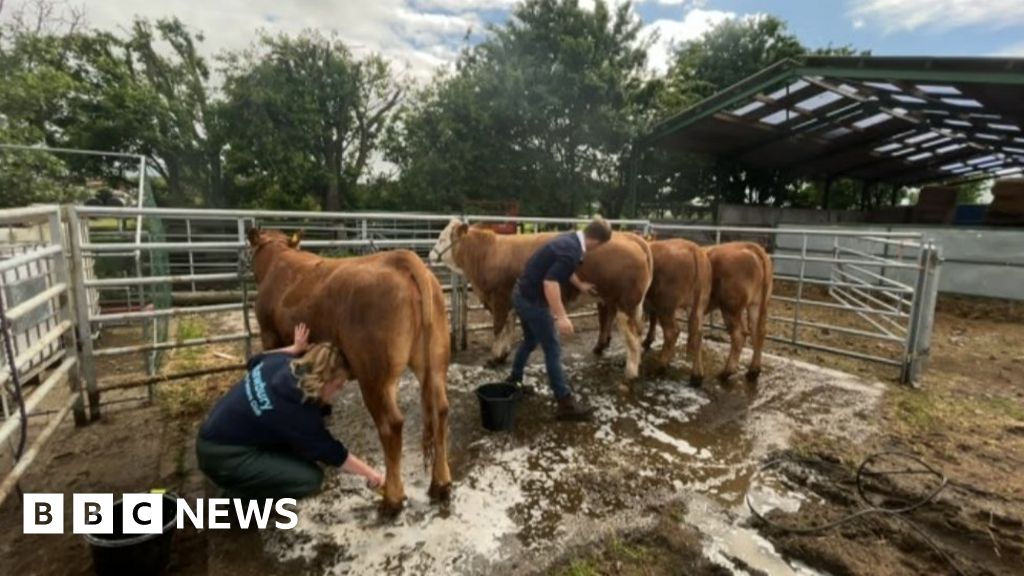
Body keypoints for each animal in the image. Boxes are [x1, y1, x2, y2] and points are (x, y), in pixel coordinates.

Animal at [245, 226, 450, 508]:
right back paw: (441, 485)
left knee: (391, 425)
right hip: (434, 361)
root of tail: (402, 258)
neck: (278, 259)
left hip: (374, 375)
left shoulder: (269, 334)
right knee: (440, 410)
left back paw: (392, 498)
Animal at [428, 217, 651, 379]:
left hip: (626, 305)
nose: (429, 255)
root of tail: (634, 239)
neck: (487, 254)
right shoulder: (509, 303)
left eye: (441, 238)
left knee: (632, 336)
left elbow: (498, 329)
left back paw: (630, 372)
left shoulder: (498, 300)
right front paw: (502, 355)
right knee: (614, 323)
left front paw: (493, 357)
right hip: (612, 300)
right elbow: (508, 328)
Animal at [638, 235, 712, 383]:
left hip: (666, 304)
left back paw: (660, 366)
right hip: (698, 304)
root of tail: (694, 249)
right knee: (697, 333)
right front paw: (648, 340)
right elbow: (652, 320)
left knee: (672, 331)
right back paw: (697, 376)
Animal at [708, 240, 770, 381]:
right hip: (757, 303)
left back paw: (726, 372)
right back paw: (753, 370)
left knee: (739, 336)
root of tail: (747, 245)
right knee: (758, 332)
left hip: (730, 306)